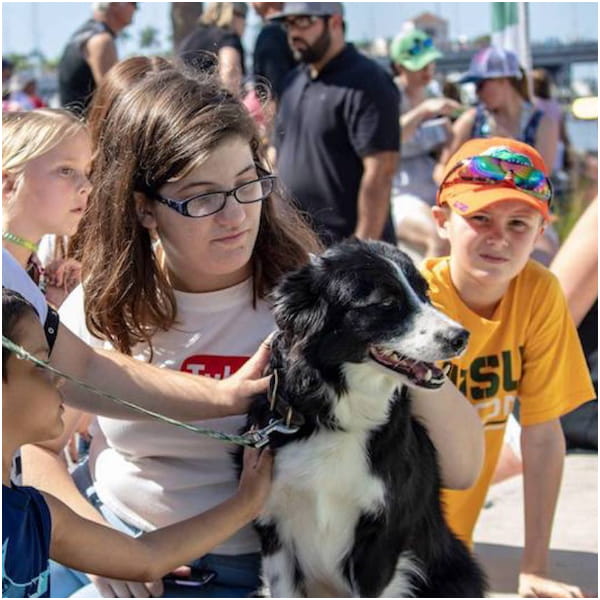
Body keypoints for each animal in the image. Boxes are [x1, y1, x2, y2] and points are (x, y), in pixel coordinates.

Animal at [241, 239, 486, 596]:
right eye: (386, 302)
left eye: (424, 292)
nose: (460, 337)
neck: (336, 420)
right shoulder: (274, 529)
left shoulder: (383, 539)